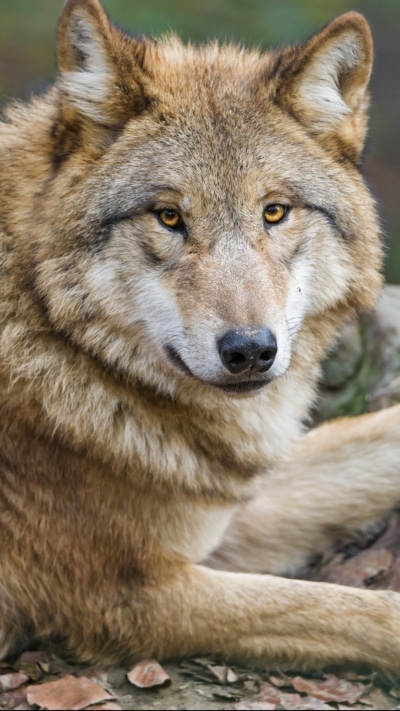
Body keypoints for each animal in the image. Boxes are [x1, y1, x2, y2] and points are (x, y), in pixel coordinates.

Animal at [1, 0, 400, 673]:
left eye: (274, 211)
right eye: (169, 217)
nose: (250, 351)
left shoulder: (219, 507)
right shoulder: (133, 595)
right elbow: (347, 608)